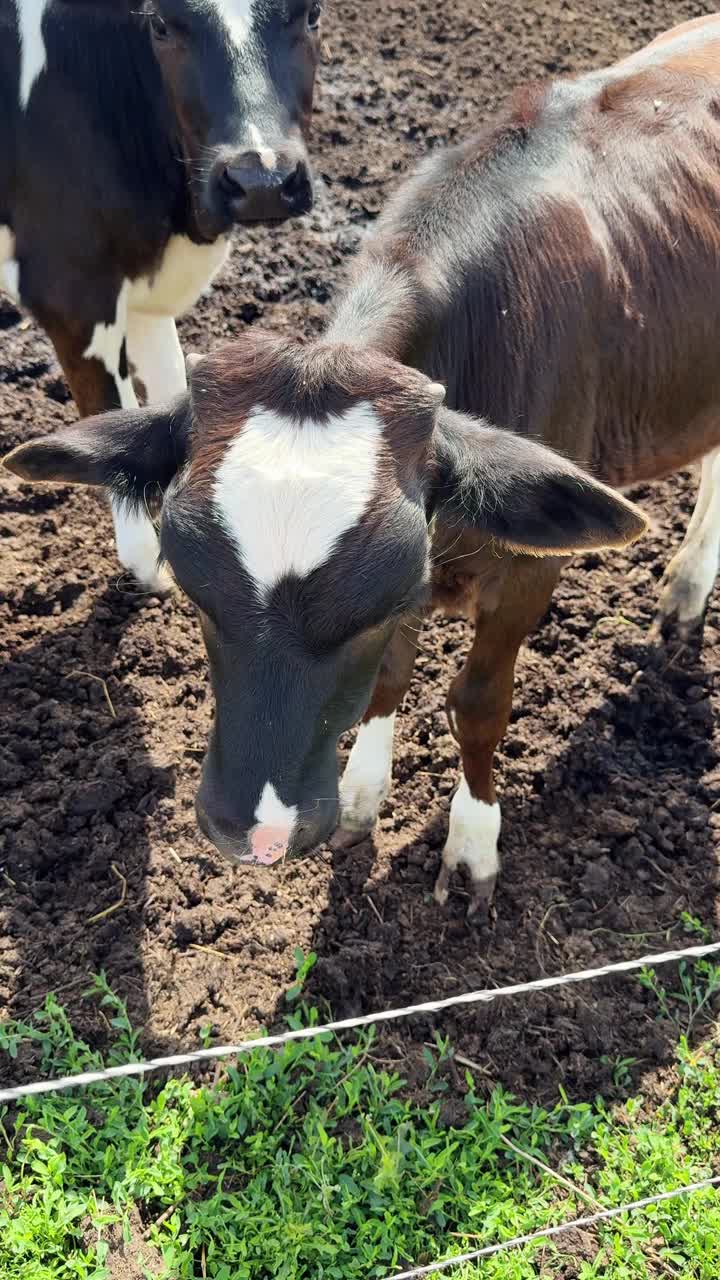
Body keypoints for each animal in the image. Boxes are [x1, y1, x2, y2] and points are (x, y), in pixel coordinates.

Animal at [0, 0, 319, 588]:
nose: (260, 181)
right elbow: (108, 416)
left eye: (311, 15)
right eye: (162, 24)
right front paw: (150, 570)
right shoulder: (70, 289)